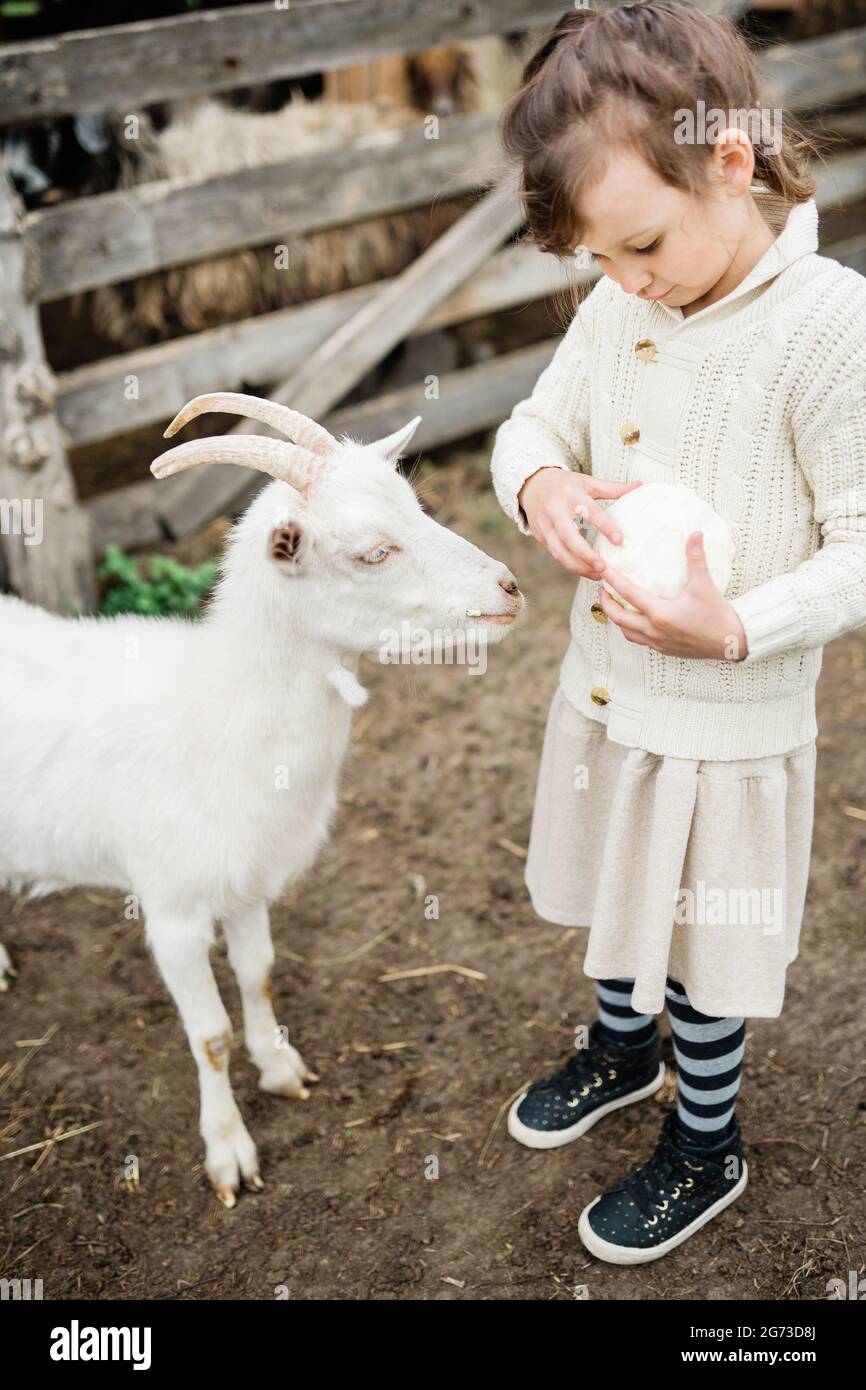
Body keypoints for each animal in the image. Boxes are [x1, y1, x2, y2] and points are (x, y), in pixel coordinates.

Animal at [0, 393, 523, 1205]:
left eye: (415, 505)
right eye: (373, 552)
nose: (508, 587)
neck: (219, 714)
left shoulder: (247, 882)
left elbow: (260, 972)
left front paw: (280, 1068)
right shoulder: (173, 910)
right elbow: (209, 1035)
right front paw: (229, 1152)